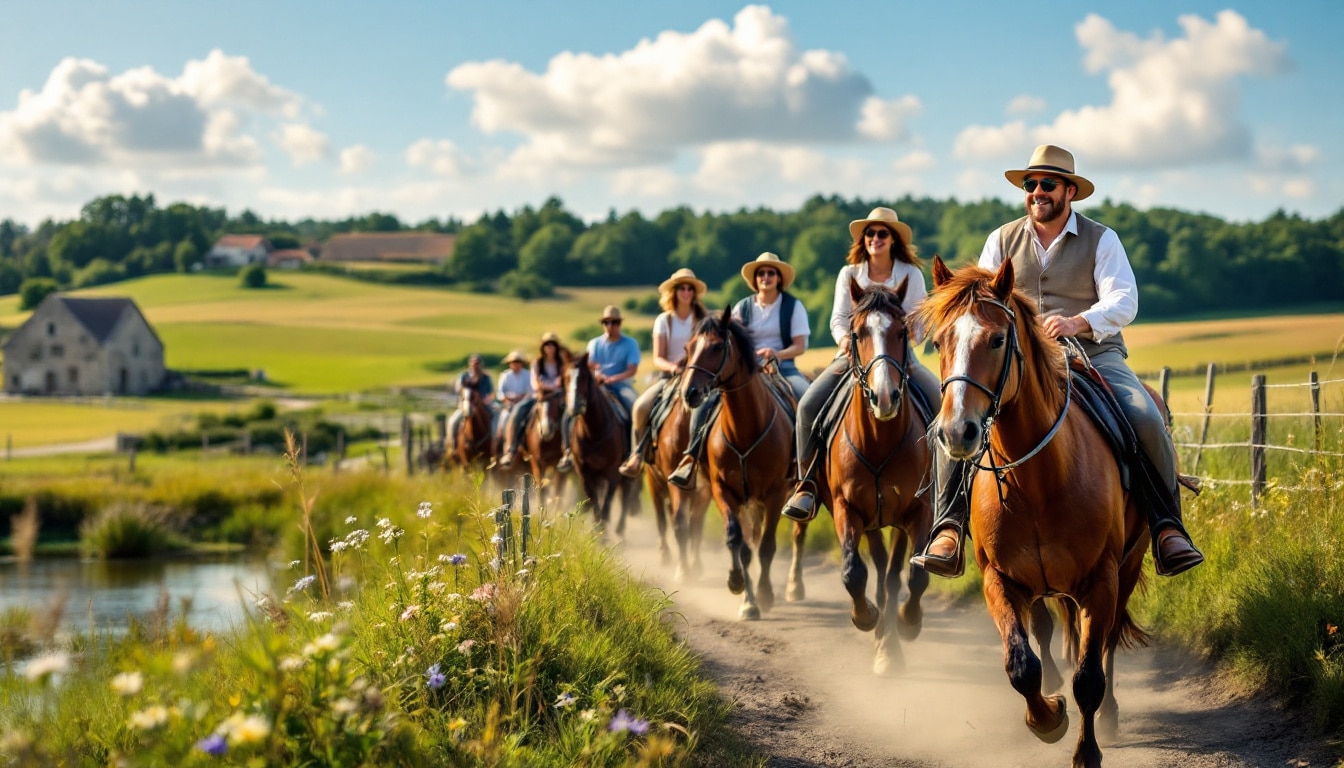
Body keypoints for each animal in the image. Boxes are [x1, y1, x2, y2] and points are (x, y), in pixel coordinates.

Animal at [559, 355, 637, 540]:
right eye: (565, 378)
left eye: (584, 377)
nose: (575, 406)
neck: (594, 432)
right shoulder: (584, 472)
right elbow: (594, 501)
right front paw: (597, 532)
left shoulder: (613, 472)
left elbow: (607, 504)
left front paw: (603, 535)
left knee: (626, 495)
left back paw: (620, 531)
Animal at [642, 373, 709, 583]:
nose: (693, 393)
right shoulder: (674, 484)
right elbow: (679, 523)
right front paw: (683, 570)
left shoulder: (706, 490)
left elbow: (696, 525)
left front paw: (696, 565)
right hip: (653, 482)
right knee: (662, 519)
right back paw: (664, 555)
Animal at [682, 306, 806, 618]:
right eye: (689, 347)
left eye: (716, 347)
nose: (689, 393)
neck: (745, 430)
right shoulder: (723, 490)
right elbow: (737, 540)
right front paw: (742, 591)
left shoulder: (775, 494)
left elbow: (767, 547)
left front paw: (764, 594)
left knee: (798, 534)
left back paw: (794, 587)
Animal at [811, 279, 930, 675]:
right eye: (858, 332)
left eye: (902, 332)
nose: (885, 396)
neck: (879, 441)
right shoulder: (846, 507)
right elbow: (853, 571)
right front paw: (865, 617)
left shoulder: (917, 512)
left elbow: (912, 575)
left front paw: (906, 627)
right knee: (876, 568)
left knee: (889, 574)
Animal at [919, 258, 1150, 768]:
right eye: (940, 342)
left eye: (996, 340)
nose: (956, 432)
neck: (1038, 481)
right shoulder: (999, 579)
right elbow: (1021, 664)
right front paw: (1047, 717)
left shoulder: (1102, 580)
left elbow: (1089, 676)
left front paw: (1086, 749)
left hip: (1129, 566)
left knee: (1105, 646)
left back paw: (1110, 715)